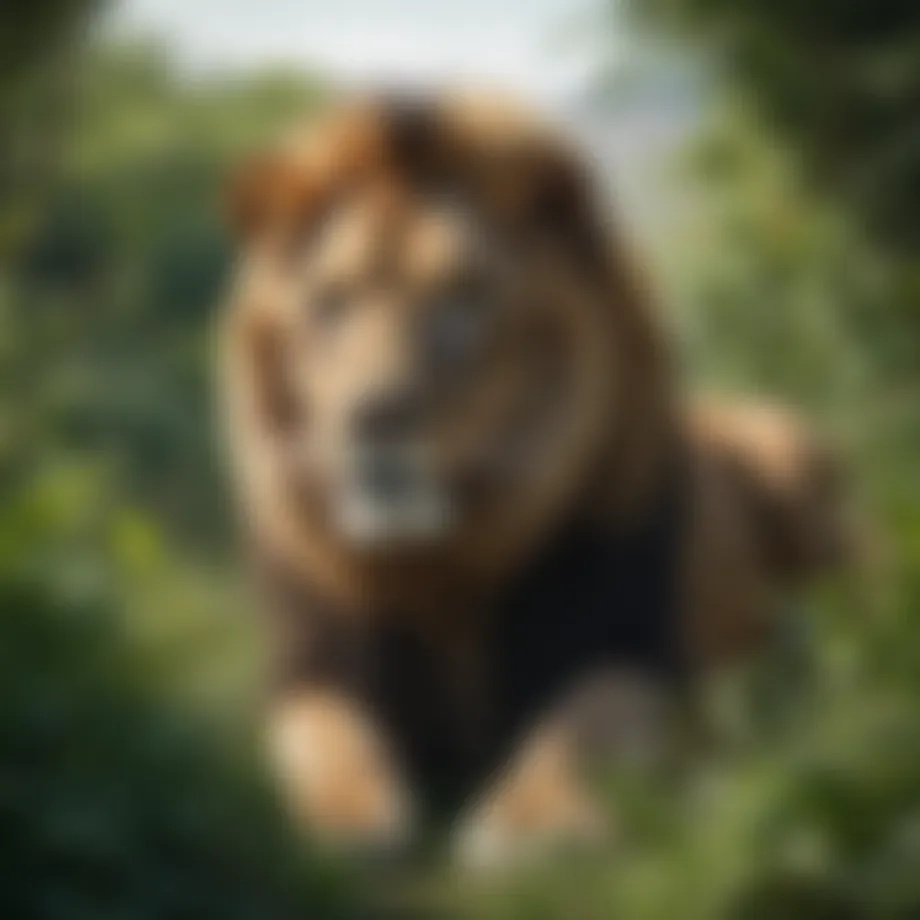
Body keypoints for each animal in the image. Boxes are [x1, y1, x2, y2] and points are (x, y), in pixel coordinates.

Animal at [217, 93, 849, 862]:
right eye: (330, 301)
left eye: (462, 300)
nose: (373, 419)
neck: (442, 565)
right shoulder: (313, 667)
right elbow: (324, 740)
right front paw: (345, 822)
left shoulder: (638, 651)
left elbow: (586, 720)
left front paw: (526, 827)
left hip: (791, 458)